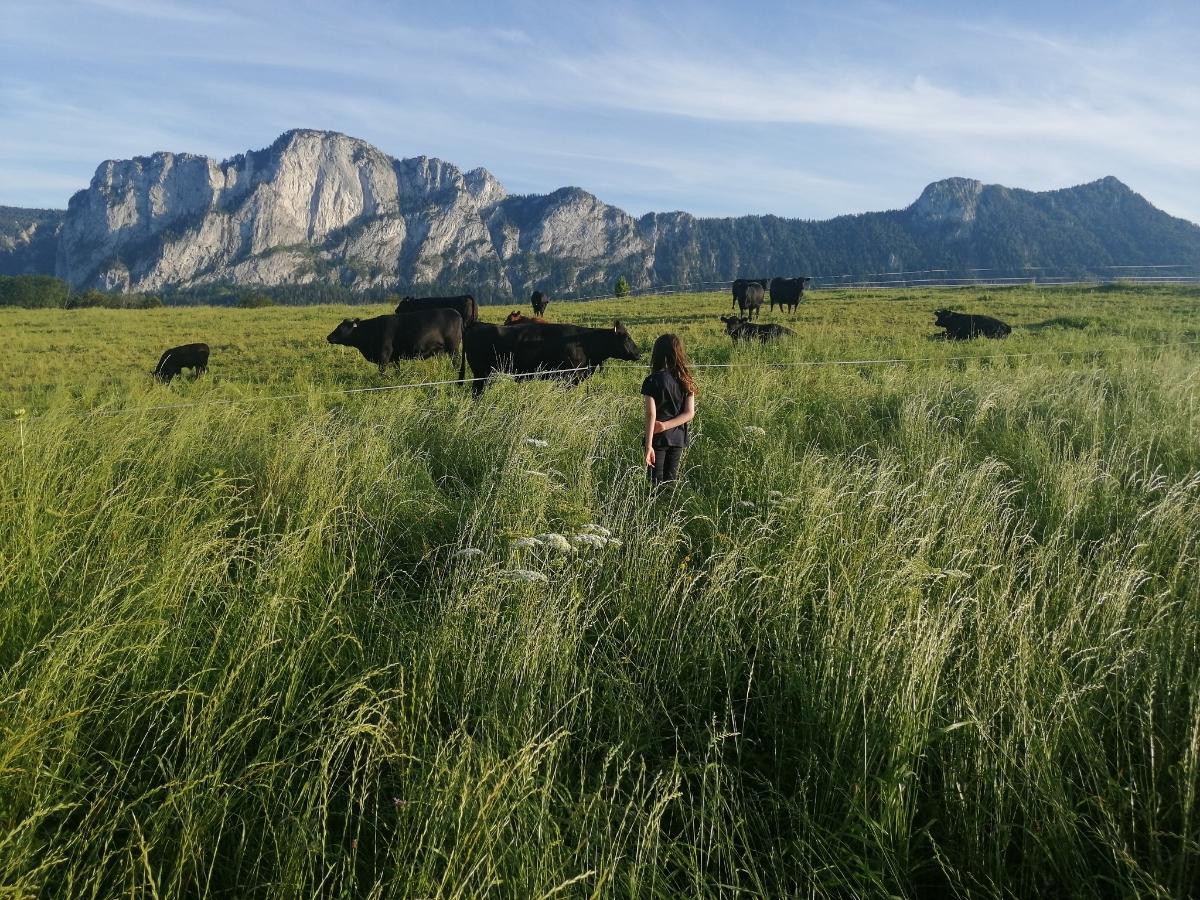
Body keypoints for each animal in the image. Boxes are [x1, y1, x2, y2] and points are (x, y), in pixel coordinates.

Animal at [326, 309, 465, 381]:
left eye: (341, 328)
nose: (328, 337)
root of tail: (456, 312)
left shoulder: (384, 354)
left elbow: (382, 370)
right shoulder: (395, 356)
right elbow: (398, 369)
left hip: (453, 348)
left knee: (456, 362)